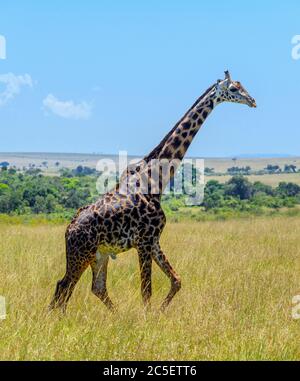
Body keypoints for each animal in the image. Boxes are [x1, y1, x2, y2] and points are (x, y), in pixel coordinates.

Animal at [49, 70, 255, 312]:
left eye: (243, 86)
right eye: (233, 89)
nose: (252, 101)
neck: (156, 181)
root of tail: (68, 231)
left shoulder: (154, 240)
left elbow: (176, 280)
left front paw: (159, 312)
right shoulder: (144, 240)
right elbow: (146, 291)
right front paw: (149, 316)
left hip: (99, 255)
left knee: (95, 288)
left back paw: (115, 316)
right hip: (81, 253)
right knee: (64, 286)